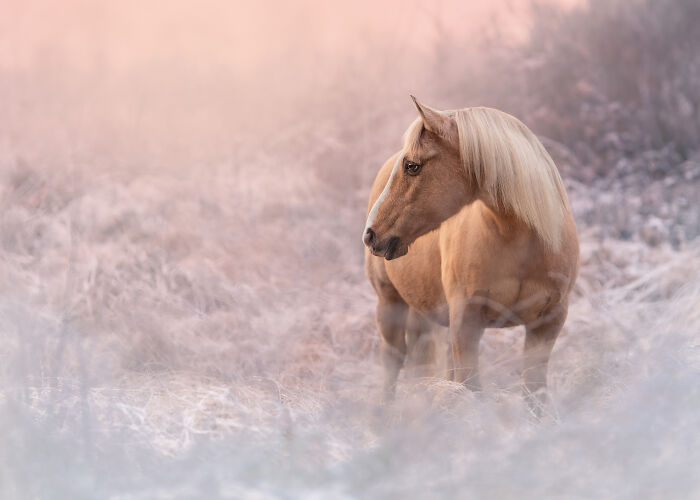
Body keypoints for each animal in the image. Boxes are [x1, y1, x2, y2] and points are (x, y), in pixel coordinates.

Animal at [362, 97, 579, 408]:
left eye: (412, 166)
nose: (370, 234)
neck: (518, 244)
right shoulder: (466, 323)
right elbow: (470, 389)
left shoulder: (548, 324)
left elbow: (533, 393)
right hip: (389, 302)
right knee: (393, 359)